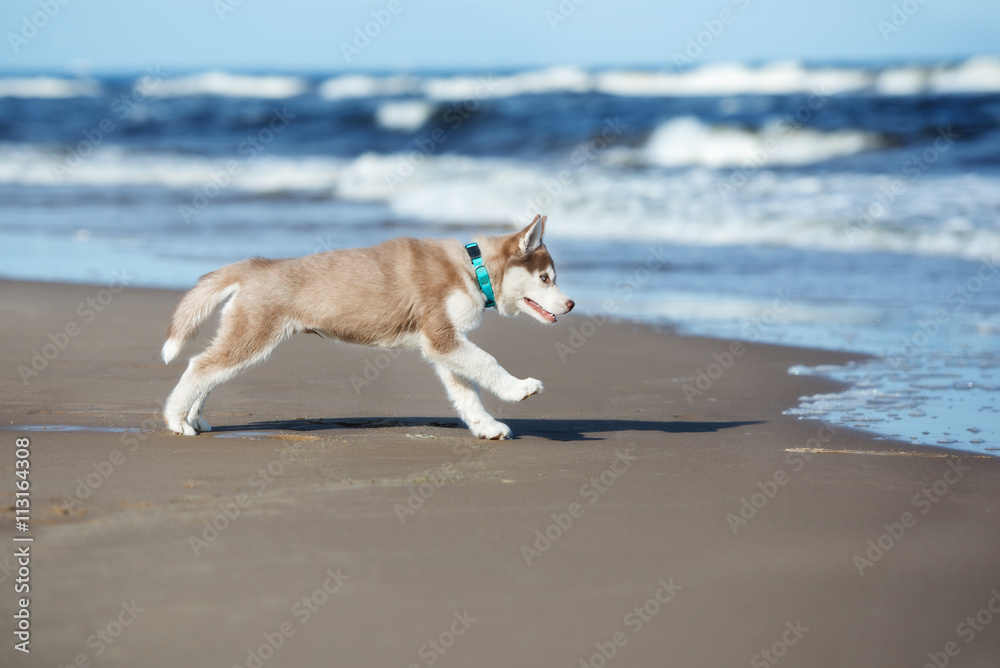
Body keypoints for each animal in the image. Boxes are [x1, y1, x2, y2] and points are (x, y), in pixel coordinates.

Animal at [160, 217, 576, 440]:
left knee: (207, 371)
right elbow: (488, 362)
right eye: (545, 278)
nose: (571, 304)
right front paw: (519, 389)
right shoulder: (442, 339)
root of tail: (256, 265)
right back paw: (176, 420)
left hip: (245, 338)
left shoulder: (444, 345)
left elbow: (467, 391)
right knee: (198, 368)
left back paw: (194, 418)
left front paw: (486, 426)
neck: (473, 269)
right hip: (254, 338)